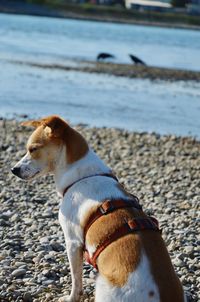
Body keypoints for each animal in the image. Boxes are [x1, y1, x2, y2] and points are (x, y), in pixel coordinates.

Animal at [10, 115, 186, 302]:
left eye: (33, 149)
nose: (13, 170)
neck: (83, 176)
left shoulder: (73, 242)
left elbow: (76, 279)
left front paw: (71, 298)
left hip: (102, 284)